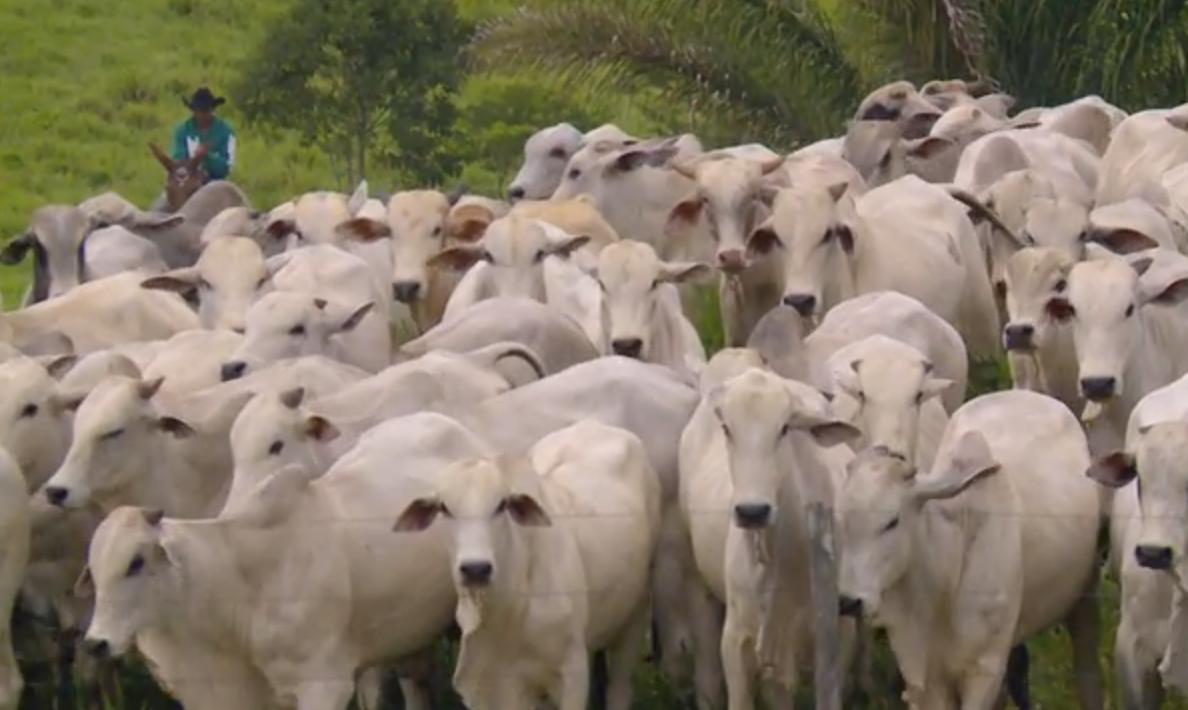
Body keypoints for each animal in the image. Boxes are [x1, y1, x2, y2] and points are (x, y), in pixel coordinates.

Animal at [396, 422, 660, 710]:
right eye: (444, 507)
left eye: (501, 505)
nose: (476, 569)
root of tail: (595, 424)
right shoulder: (503, 683)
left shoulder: (573, 672)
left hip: (635, 617)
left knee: (619, 687)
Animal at [836, 391, 1102, 710]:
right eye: (840, 519)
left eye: (892, 521)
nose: (849, 602)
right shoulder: (927, 676)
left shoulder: (984, 671)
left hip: (1083, 603)